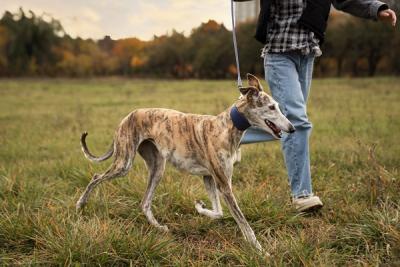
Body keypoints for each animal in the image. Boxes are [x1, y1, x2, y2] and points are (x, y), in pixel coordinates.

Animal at [76, 74, 294, 252]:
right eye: (271, 107)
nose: (292, 128)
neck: (226, 126)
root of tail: (127, 117)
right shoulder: (223, 184)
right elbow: (243, 223)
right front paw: (260, 251)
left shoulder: (210, 178)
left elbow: (218, 212)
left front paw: (199, 207)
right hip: (124, 164)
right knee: (96, 176)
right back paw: (80, 205)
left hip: (157, 168)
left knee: (145, 202)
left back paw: (159, 227)